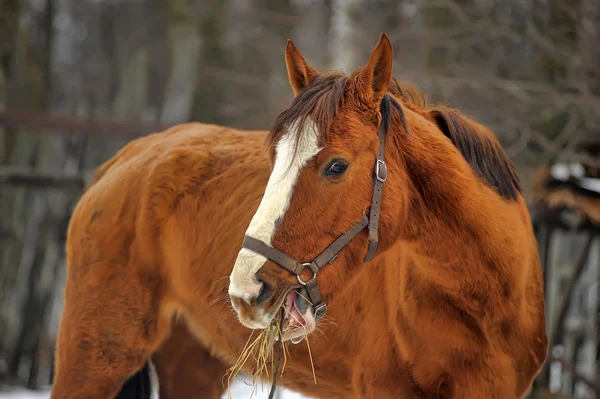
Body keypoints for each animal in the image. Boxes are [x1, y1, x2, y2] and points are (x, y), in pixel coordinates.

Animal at [52, 35, 548, 399]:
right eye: (274, 158)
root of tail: (126, 159)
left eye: (336, 166)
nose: (246, 291)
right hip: (94, 358)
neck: (483, 303)